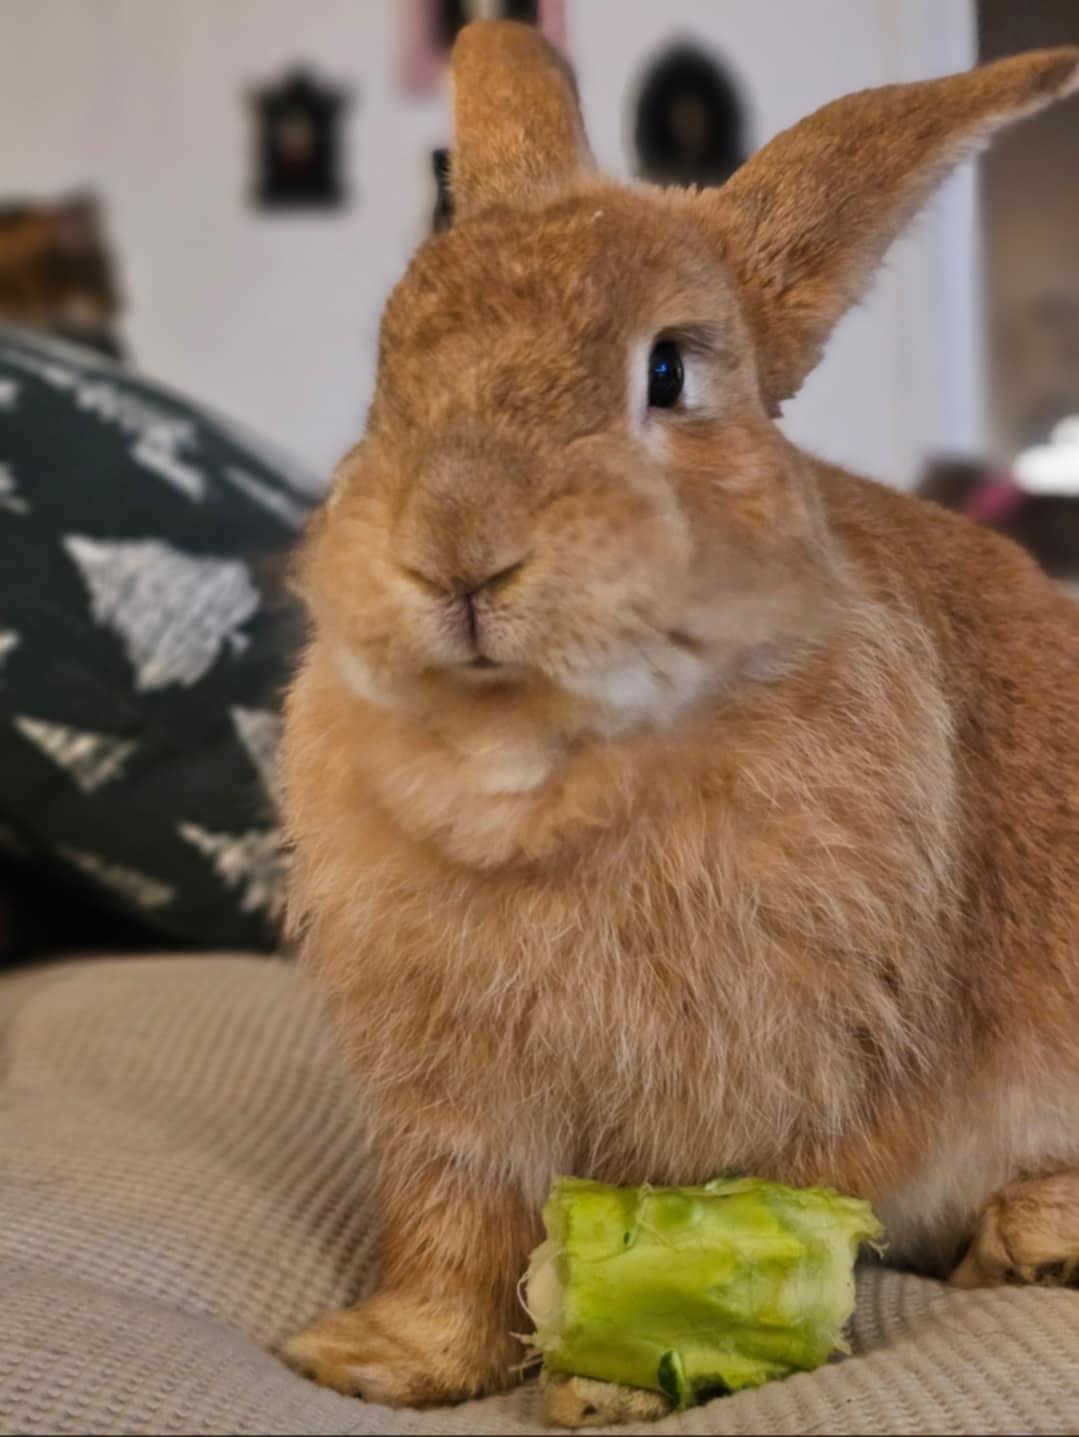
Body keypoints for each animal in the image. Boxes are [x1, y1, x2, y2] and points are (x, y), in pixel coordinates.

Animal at [278, 19, 1079, 1420]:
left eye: (668, 373)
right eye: (390, 361)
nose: (457, 552)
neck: (533, 764)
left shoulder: (777, 1094)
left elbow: (721, 1219)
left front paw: (624, 1380)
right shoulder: (454, 1109)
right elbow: (452, 1238)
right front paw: (376, 1363)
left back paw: (1032, 1239)